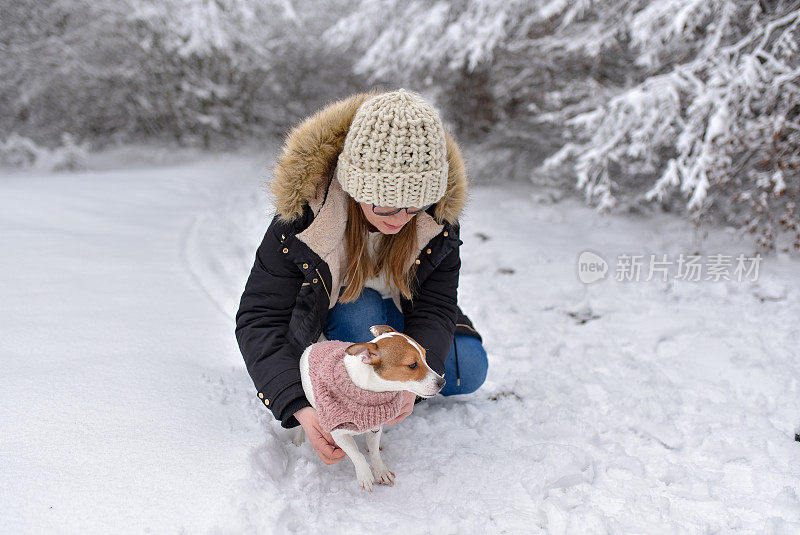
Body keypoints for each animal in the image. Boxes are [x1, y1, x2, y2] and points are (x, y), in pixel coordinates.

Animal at [296, 324, 444, 492]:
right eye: (412, 365)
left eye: (425, 357)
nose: (442, 382)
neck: (369, 390)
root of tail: (317, 343)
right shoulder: (339, 434)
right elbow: (356, 454)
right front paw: (365, 475)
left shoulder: (375, 427)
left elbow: (373, 452)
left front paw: (380, 471)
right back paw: (298, 439)